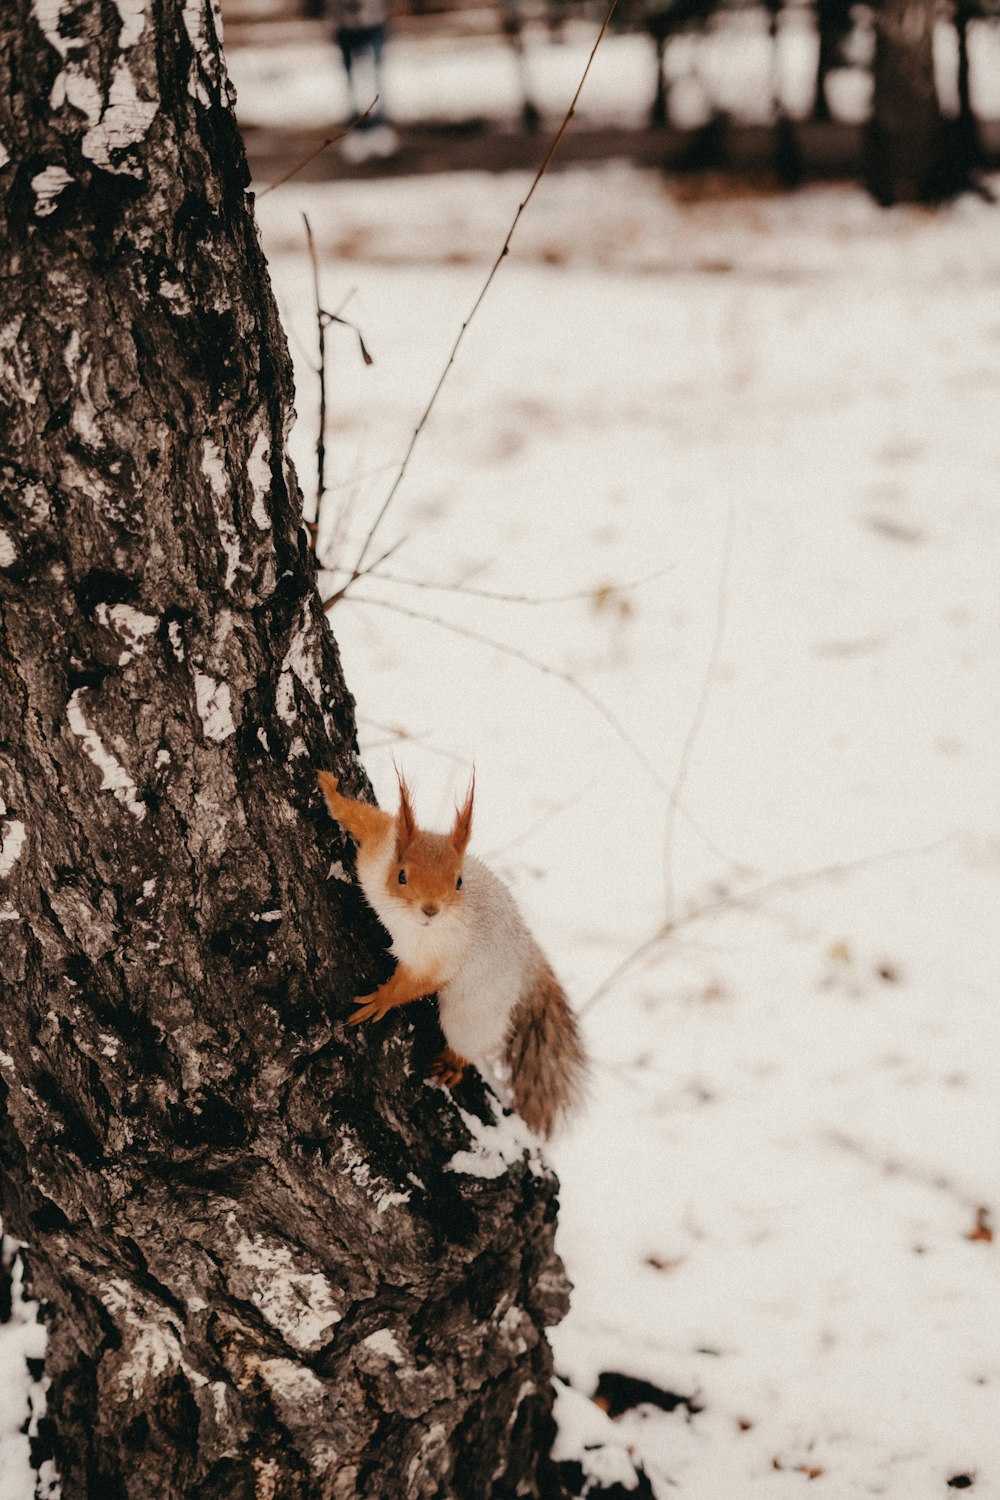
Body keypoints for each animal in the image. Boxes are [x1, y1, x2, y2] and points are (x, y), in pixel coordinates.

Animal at [319, 774, 587, 1134]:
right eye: (401, 875)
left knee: (477, 1041)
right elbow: (364, 818)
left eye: (459, 882)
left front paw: (382, 999)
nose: (431, 909)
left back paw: (454, 1062)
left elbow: (417, 984)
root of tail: (523, 967)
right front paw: (330, 788)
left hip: (472, 1015)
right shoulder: (379, 851)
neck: (407, 921)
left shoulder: (441, 958)